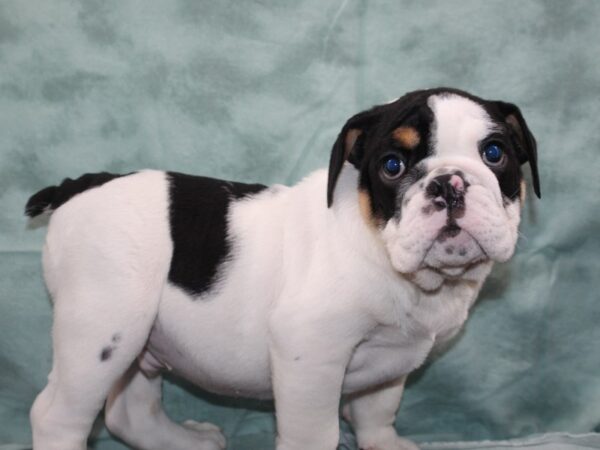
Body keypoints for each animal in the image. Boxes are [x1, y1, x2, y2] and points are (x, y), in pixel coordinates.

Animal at [27, 88, 540, 450]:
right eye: (392, 165)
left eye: (495, 154)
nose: (449, 183)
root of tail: (79, 185)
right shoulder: (310, 353)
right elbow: (315, 433)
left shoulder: (391, 363)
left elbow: (378, 412)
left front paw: (385, 444)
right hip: (105, 328)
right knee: (57, 416)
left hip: (141, 337)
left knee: (129, 411)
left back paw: (186, 442)